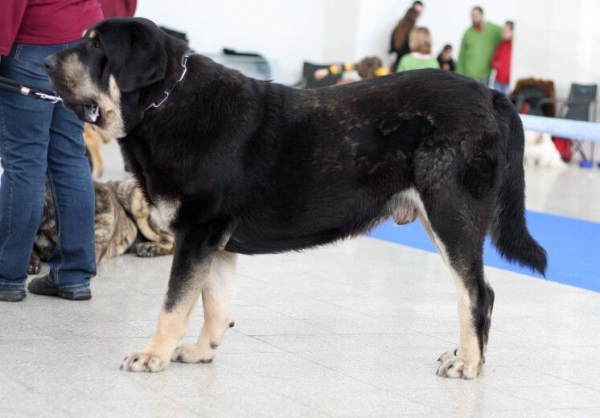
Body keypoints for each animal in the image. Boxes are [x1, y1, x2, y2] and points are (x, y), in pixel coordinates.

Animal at [44, 17, 548, 378]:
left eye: (95, 47)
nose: (45, 63)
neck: (165, 103)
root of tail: (491, 95)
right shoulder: (214, 241)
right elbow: (215, 305)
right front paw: (202, 353)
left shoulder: (197, 233)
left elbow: (174, 304)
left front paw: (153, 355)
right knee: (477, 291)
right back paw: (467, 354)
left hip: (450, 214)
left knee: (476, 292)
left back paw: (469, 362)